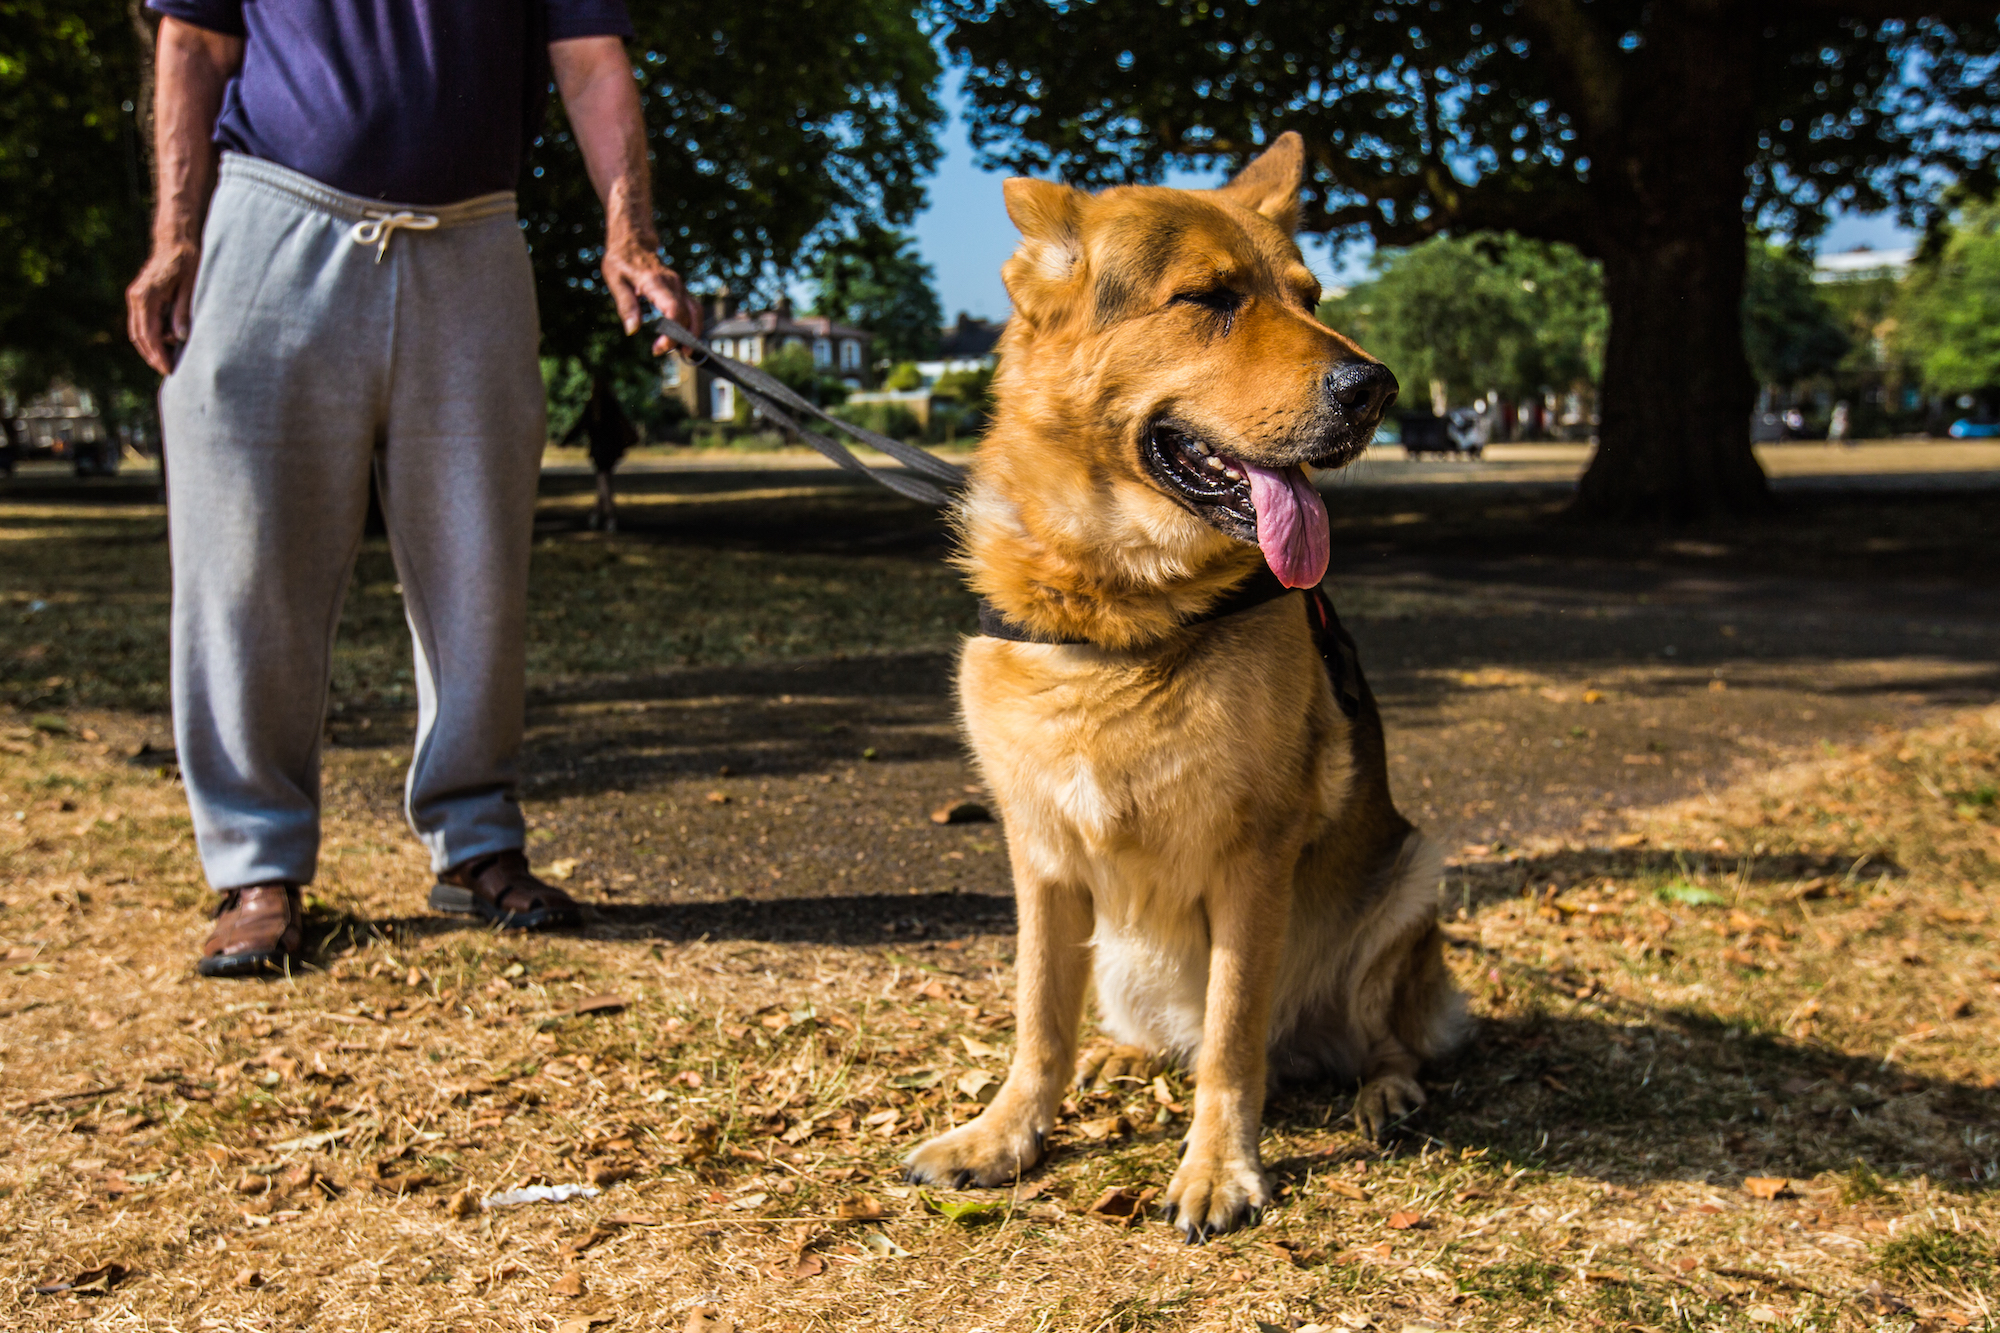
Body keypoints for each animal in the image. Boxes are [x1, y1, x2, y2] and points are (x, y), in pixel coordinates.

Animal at [908, 132, 1472, 1232]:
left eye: (1308, 294)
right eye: (1210, 298)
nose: (1376, 387)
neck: (1121, 615)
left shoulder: (1252, 861)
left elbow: (1230, 1034)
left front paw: (1220, 1166)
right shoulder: (1041, 862)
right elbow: (1039, 1020)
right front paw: (1006, 1134)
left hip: (1409, 878)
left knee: (1377, 1036)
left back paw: (1384, 1088)